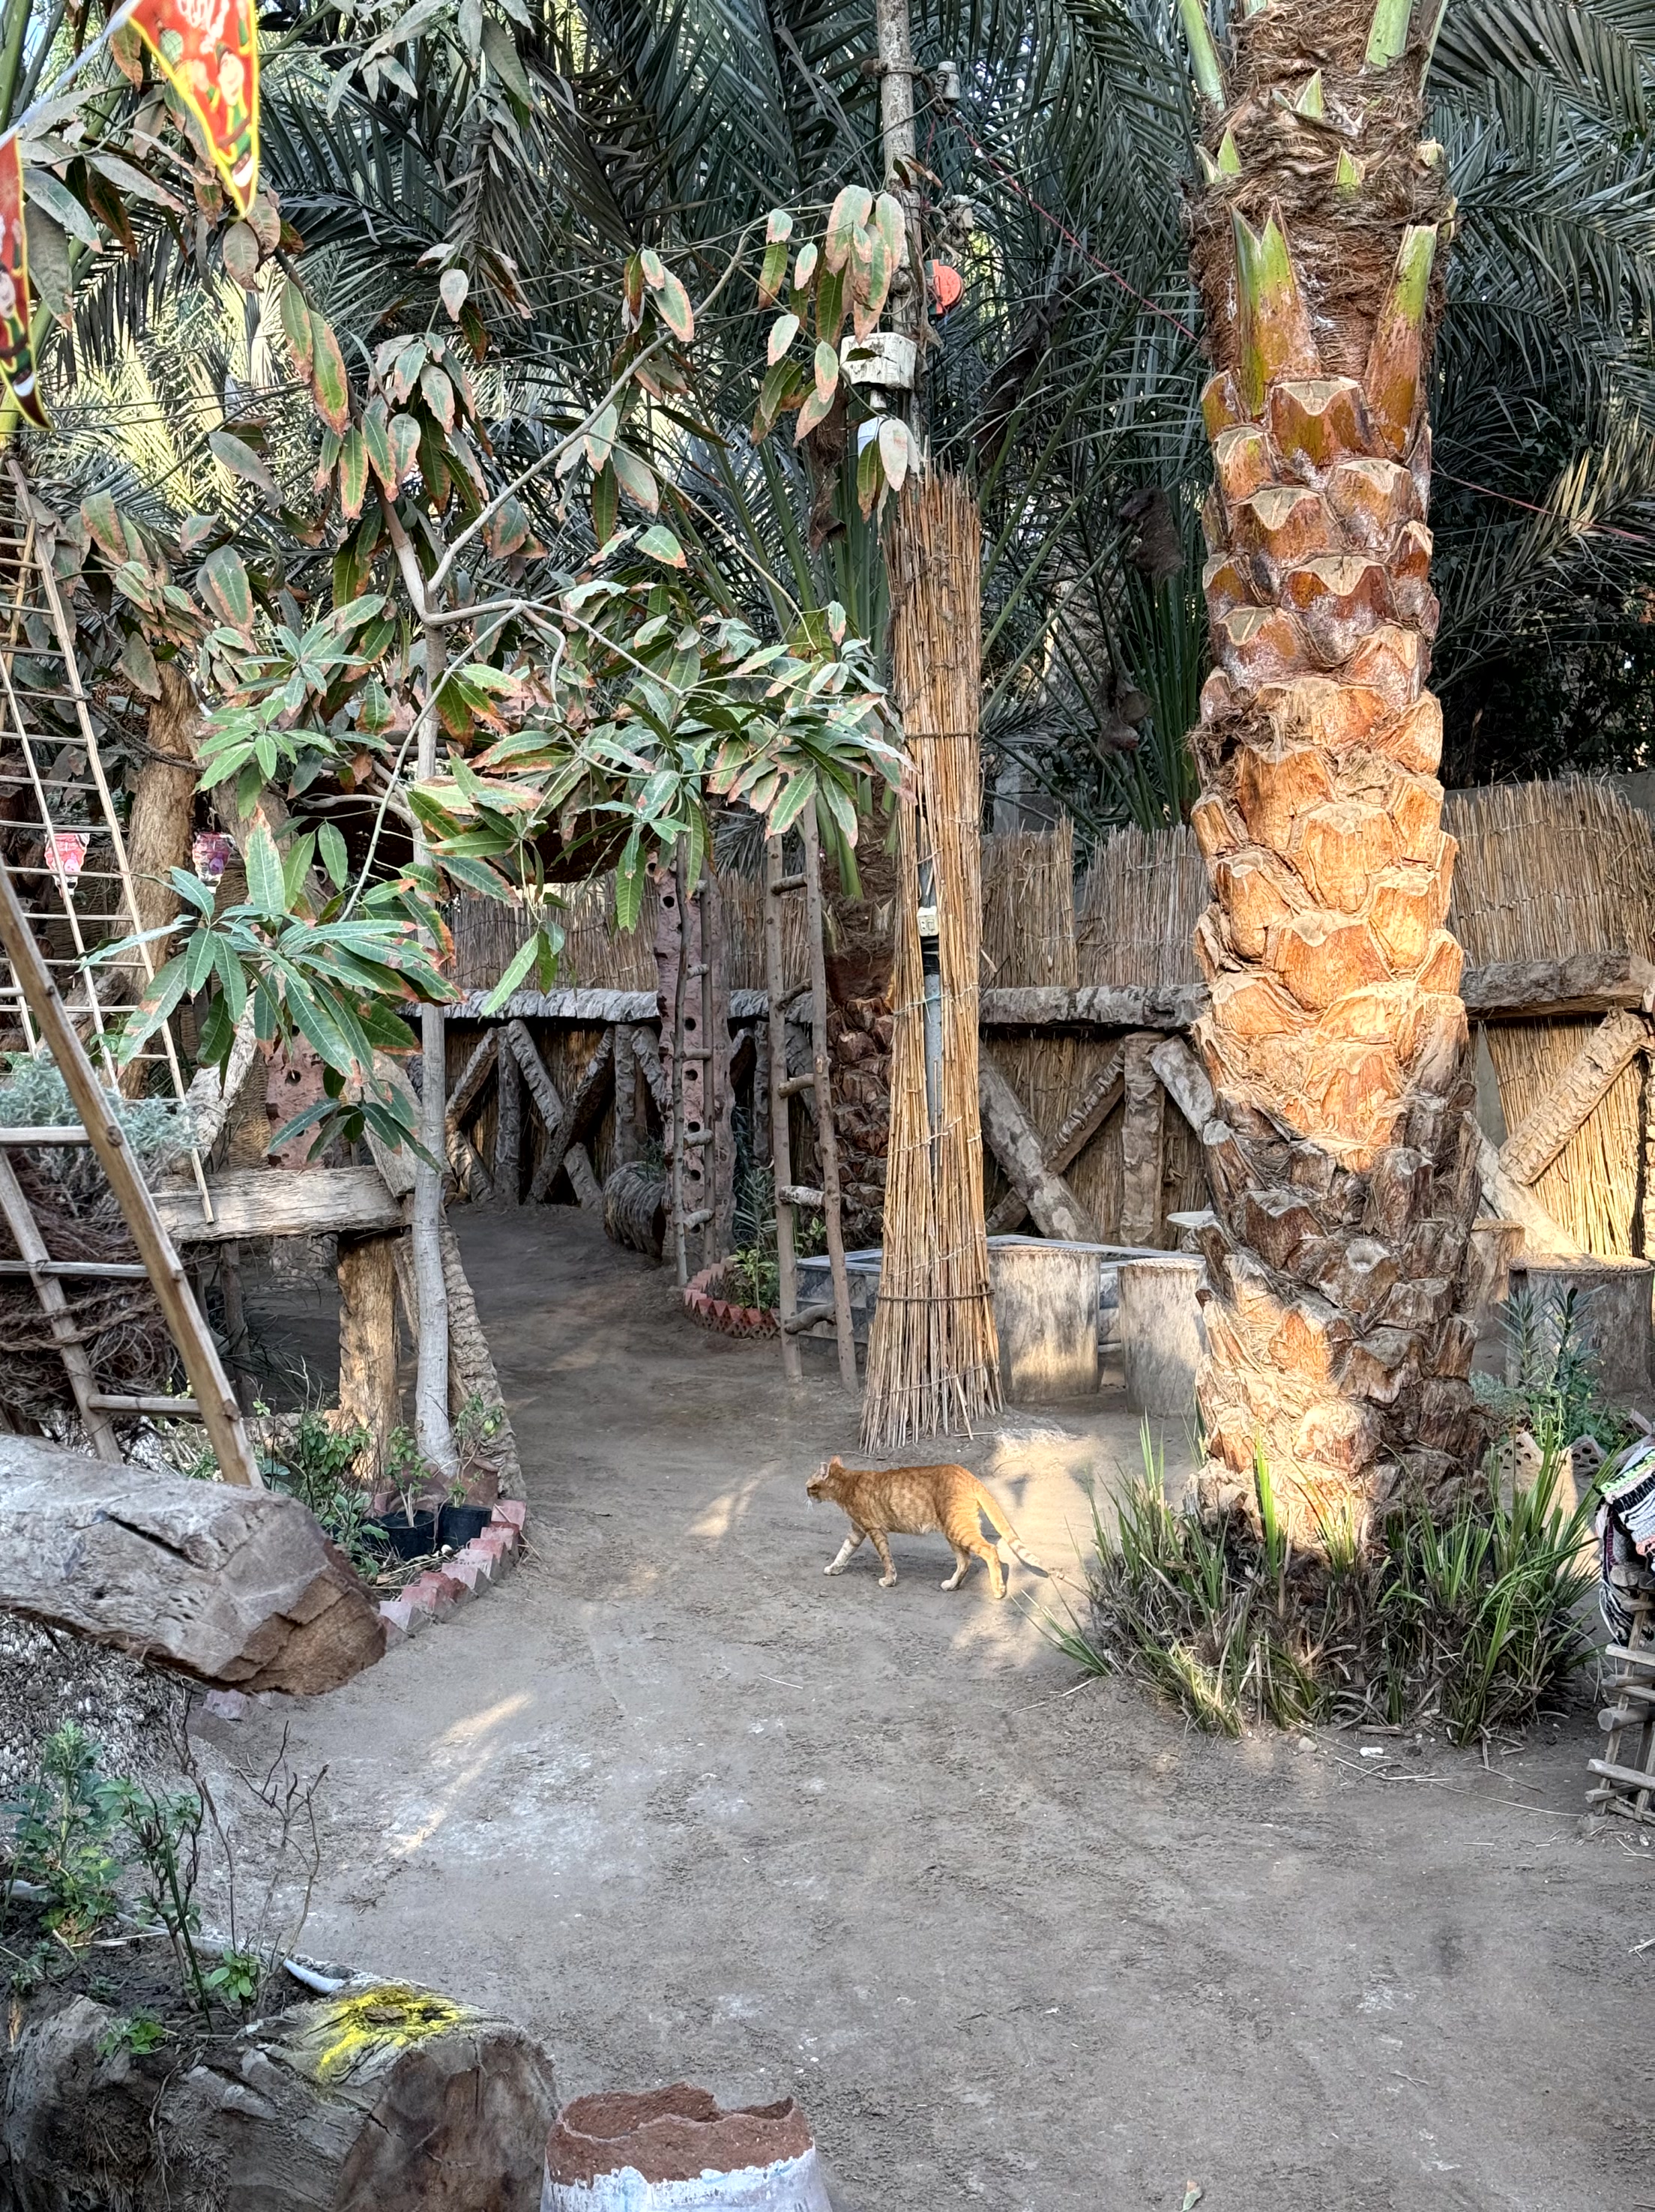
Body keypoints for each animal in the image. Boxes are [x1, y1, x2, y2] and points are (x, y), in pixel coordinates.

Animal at [805, 1455, 1048, 1598]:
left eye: (809, 1486)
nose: (805, 1493)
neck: (848, 1482)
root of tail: (965, 1473)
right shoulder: (857, 1530)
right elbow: (844, 1551)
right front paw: (834, 1568)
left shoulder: (874, 1530)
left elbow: (886, 1559)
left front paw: (889, 1580)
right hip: (953, 1531)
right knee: (965, 1561)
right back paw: (952, 1585)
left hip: (959, 1529)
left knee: (990, 1551)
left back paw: (998, 1590)